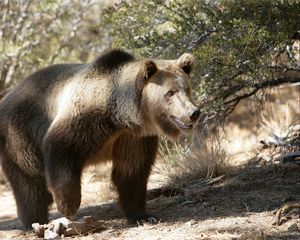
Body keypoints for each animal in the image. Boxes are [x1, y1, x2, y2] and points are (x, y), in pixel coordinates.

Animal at [0, 49, 202, 229]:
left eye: (187, 89)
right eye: (170, 92)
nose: (193, 113)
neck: (119, 116)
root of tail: (6, 98)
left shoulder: (132, 138)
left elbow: (132, 171)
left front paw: (142, 216)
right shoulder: (85, 118)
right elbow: (61, 151)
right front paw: (68, 207)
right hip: (20, 136)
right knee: (29, 182)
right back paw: (35, 220)